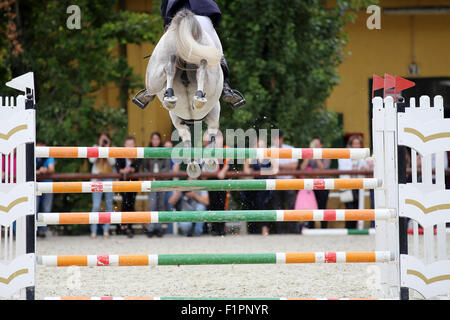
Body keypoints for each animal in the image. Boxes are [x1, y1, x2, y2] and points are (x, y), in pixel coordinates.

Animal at [144, 8, 221, 178]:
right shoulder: (211, 115)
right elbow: (208, 135)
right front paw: (201, 164)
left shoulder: (179, 122)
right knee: (201, 66)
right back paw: (196, 97)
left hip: (154, 75)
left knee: (170, 66)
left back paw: (171, 96)